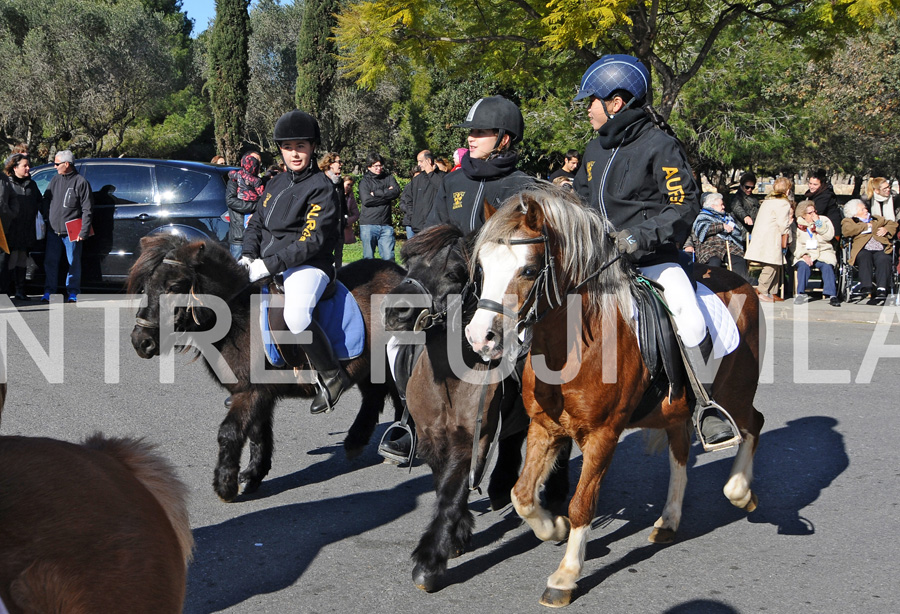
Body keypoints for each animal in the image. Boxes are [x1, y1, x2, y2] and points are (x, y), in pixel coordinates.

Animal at [127, 233, 404, 502]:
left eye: (174, 287)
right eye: (145, 287)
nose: (141, 342)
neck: (237, 317)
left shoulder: (251, 392)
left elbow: (229, 432)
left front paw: (225, 485)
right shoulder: (257, 394)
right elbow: (258, 433)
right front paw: (253, 474)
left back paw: (396, 444)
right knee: (375, 397)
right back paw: (360, 440)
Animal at [382, 225, 568, 592]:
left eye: (455, 273)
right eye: (407, 262)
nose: (396, 311)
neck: (450, 381)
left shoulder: (474, 438)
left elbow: (451, 491)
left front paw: (429, 562)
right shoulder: (431, 437)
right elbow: (443, 483)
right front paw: (458, 535)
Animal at [464, 186, 768, 608]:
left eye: (527, 270)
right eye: (482, 268)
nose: (480, 338)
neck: (574, 346)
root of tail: (741, 281)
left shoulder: (603, 436)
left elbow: (582, 504)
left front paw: (565, 575)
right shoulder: (544, 427)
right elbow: (521, 494)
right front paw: (553, 527)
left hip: (735, 393)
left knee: (753, 423)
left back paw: (741, 493)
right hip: (676, 408)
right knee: (680, 453)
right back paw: (669, 520)